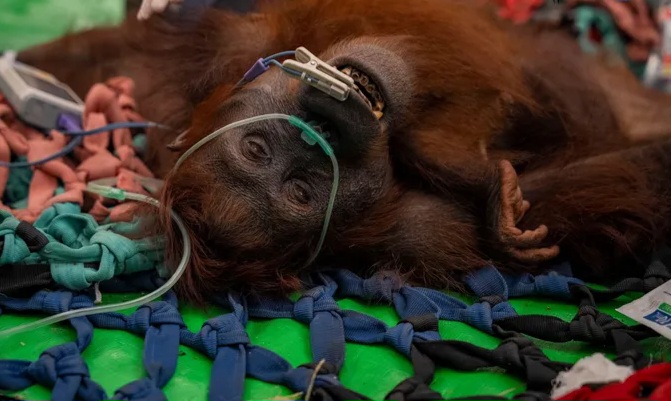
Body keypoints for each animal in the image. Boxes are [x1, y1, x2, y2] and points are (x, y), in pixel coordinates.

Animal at [11, 0, 671, 303]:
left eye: (256, 147)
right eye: (302, 191)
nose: (315, 136)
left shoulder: (208, 62)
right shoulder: (417, 234)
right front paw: (490, 189)